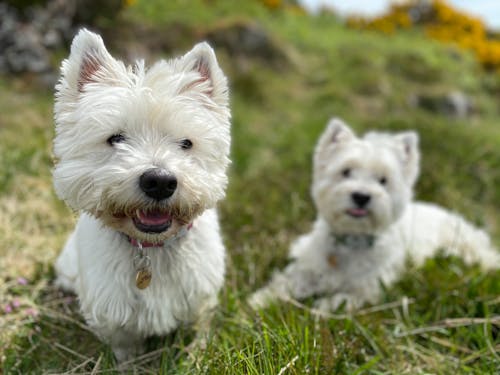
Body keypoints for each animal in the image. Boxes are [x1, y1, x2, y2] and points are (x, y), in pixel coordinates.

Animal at [51, 27, 231, 362]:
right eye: (116, 138)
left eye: (186, 143)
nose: (159, 182)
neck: (151, 248)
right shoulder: (113, 312)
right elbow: (125, 349)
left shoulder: (200, 295)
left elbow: (197, 329)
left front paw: (196, 353)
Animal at [250, 119, 500, 312]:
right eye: (346, 172)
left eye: (383, 180)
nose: (361, 196)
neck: (352, 240)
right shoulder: (308, 268)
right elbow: (284, 282)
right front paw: (259, 301)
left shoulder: (369, 287)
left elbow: (342, 299)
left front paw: (320, 307)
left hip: (464, 244)